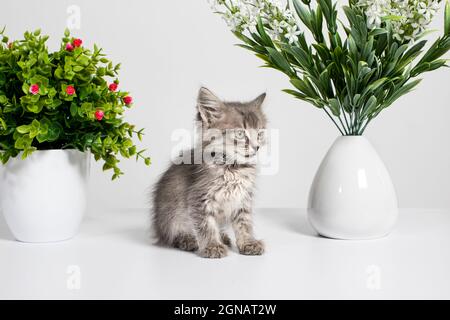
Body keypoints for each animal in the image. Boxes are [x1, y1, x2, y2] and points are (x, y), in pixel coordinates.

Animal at [151, 87, 268, 258]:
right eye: (240, 134)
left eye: (260, 134)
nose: (257, 147)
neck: (233, 169)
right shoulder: (199, 198)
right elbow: (206, 225)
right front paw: (212, 246)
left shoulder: (243, 198)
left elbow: (244, 223)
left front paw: (248, 242)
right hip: (169, 214)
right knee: (173, 234)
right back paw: (189, 240)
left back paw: (223, 236)